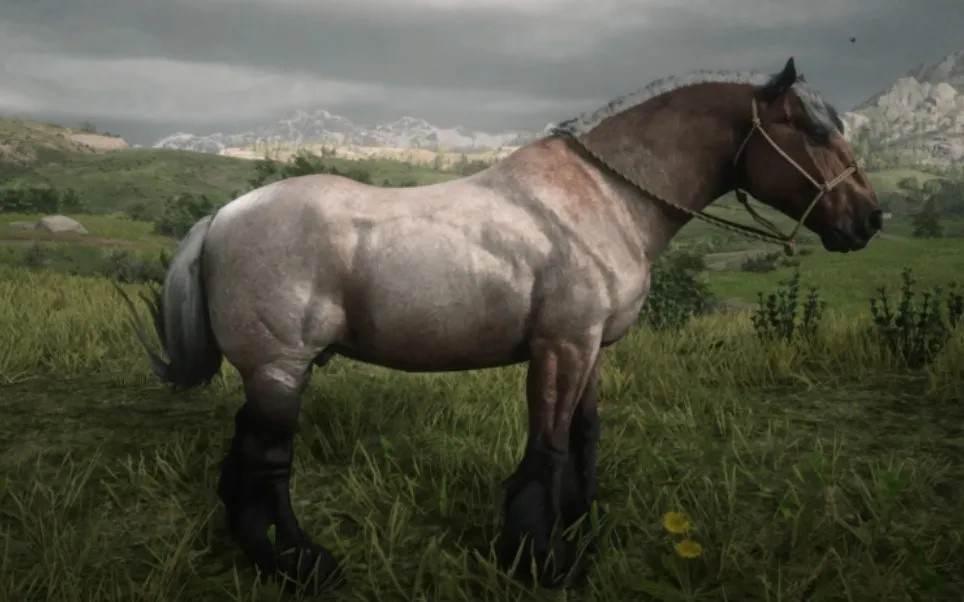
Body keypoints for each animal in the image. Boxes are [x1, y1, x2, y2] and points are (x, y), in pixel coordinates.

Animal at [118, 57, 881, 594]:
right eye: (811, 130)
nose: (869, 220)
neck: (605, 198)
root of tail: (223, 216)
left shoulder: (592, 349)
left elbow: (583, 438)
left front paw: (580, 529)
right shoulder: (561, 347)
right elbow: (547, 447)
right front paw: (542, 556)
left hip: (268, 373)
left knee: (244, 460)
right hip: (281, 369)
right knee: (267, 465)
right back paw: (301, 564)